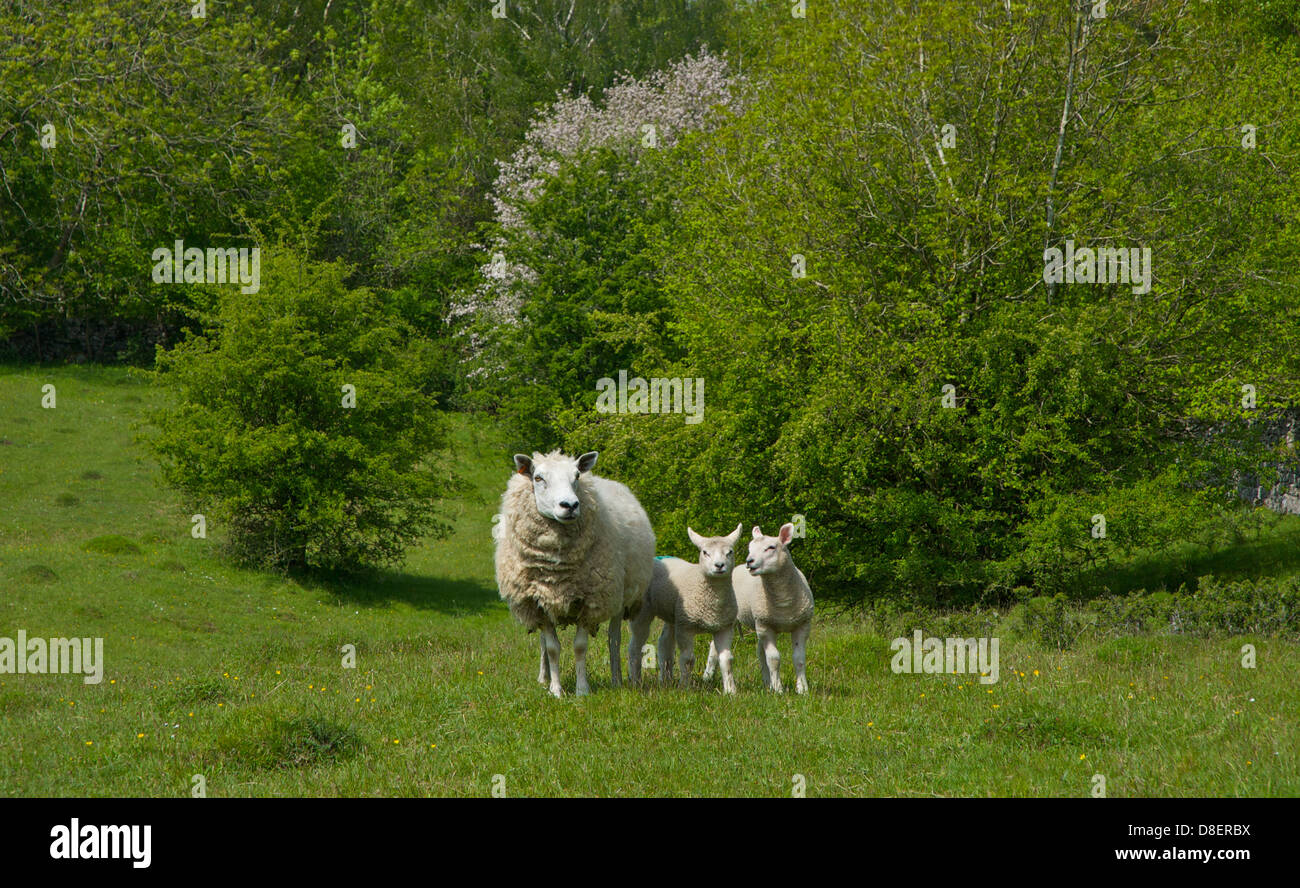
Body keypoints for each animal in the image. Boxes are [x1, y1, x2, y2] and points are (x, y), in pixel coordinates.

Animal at [494, 449, 655, 697]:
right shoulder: (538, 603)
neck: (557, 569)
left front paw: (582, 690)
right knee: (543, 642)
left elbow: (580, 647)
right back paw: (543, 677)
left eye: (577, 476)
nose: (569, 505)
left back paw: (616, 679)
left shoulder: (590, 601)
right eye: (538, 478)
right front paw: (555, 689)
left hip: (618, 597)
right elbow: (552, 648)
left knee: (614, 639)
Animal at [627, 525, 743, 694]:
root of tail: (656, 558)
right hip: (643, 610)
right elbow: (687, 659)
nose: (719, 565)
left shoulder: (724, 627)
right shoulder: (686, 626)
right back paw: (636, 681)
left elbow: (726, 659)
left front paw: (730, 690)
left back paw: (666, 680)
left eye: (730, 552)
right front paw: (685, 688)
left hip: (673, 614)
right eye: (705, 552)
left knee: (664, 643)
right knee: (635, 646)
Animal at [706, 523, 813, 694]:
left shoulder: (802, 625)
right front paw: (778, 689)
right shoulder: (766, 625)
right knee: (713, 648)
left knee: (760, 651)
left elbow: (799, 658)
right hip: (735, 617)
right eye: (750, 548)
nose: (749, 561)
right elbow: (774, 659)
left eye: (771, 547)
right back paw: (708, 676)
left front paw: (802, 689)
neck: (783, 602)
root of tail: (737, 567)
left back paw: (766, 682)